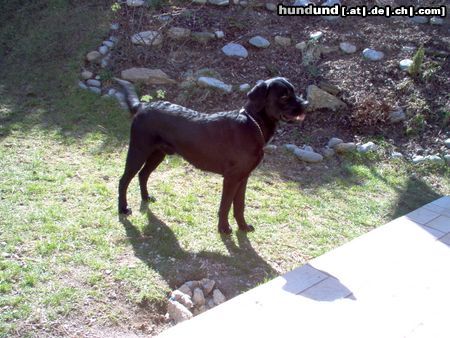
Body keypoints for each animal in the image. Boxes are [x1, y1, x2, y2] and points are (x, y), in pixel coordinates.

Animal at [118, 78, 308, 234]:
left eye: (294, 91)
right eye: (284, 96)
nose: (306, 103)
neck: (252, 125)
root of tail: (143, 106)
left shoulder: (244, 177)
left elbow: (239, 206)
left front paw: (243, 227)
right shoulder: (231, 178)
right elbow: (225, 205)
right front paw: (223, 228)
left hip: (158, 154)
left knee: (143, 175)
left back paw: (146, 198)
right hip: (138, 151)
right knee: (124, 180)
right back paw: (123, 209)